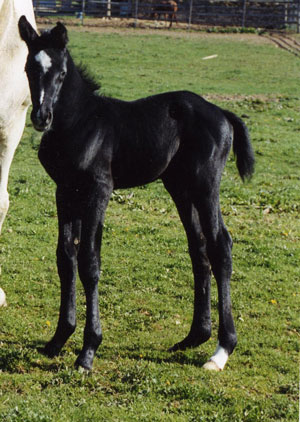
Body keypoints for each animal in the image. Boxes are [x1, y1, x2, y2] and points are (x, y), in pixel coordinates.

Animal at [18, 16, 254, 370]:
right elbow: (65, 257)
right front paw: (58, 339)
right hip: (180, 188)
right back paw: (193, 337)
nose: (41, 117)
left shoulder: (98, 191)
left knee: (220, 245)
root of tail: (223, 114)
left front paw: (88, 351)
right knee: (198, 248)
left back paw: (221, 351)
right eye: (29, 69)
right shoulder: (65, 192)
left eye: (60, 72)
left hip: (205, 185)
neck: (81, 122)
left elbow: (89, 261)